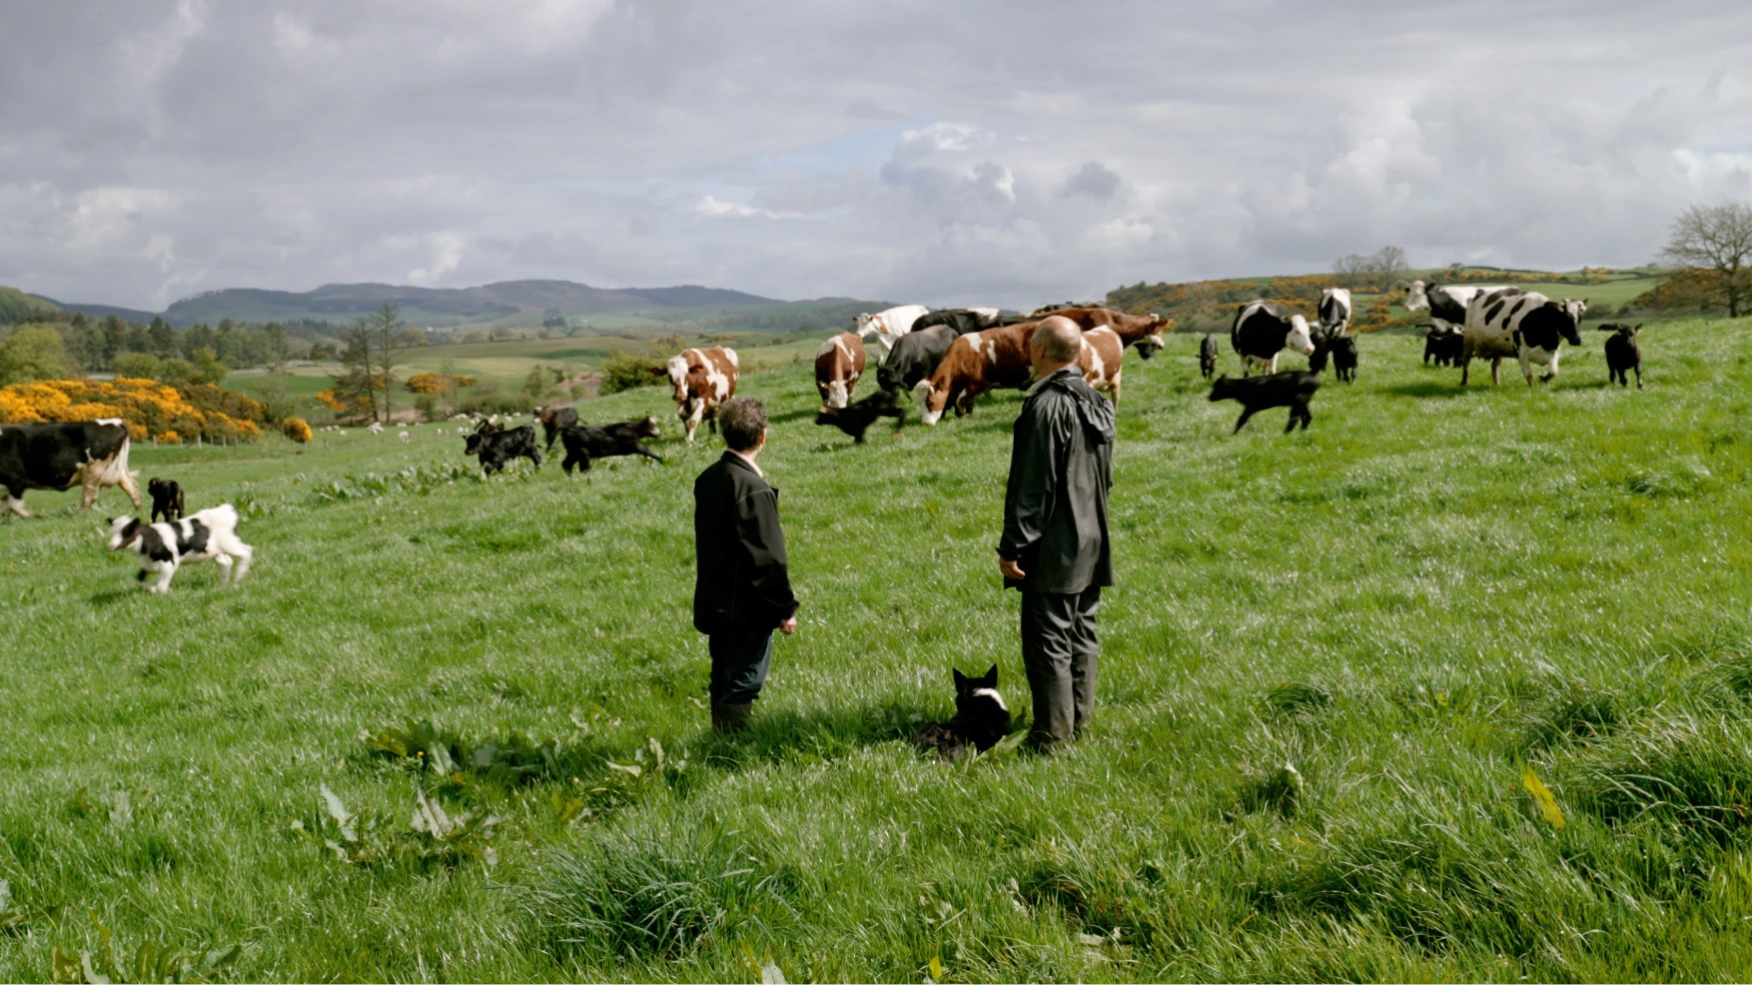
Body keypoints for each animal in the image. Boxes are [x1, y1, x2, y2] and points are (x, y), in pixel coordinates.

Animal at [0, 419, 141, 520]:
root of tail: (116, 422)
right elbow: (7, 509)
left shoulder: (16, 481)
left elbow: (14, 507)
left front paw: (42, 516)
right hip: (116, 470)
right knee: (132, 487)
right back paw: (138, 510)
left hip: (93, 471)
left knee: (89, 496)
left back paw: (76, 514)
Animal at [107, 504, 253, 594]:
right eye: (113, 531)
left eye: (126, 531)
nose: (111, 545)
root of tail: (226, 509)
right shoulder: (149, 564)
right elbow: (139, 580)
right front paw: (154, 589)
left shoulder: (169, 563)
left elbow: (160, 587)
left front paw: (162, 590)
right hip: (215, 550)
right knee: (226, 562)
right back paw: (223, 585)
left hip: (229, 542)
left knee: (246, 551)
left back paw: (238, 577)